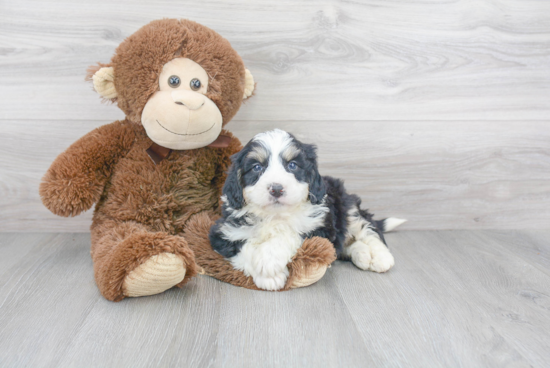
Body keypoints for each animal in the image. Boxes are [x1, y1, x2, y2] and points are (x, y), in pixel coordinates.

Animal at [209, 129, 408, 290]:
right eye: (257, 167)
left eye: (292, 165)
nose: (276, 188)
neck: (275, 215)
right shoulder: (223, 233)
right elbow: (245, 246)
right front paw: (269, 276)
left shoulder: (321, 229)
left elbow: (289, 235)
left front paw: (269, 260)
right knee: (345, 245)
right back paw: (363, 254)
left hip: (348, 208)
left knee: (369, 231)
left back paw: (380, 257)